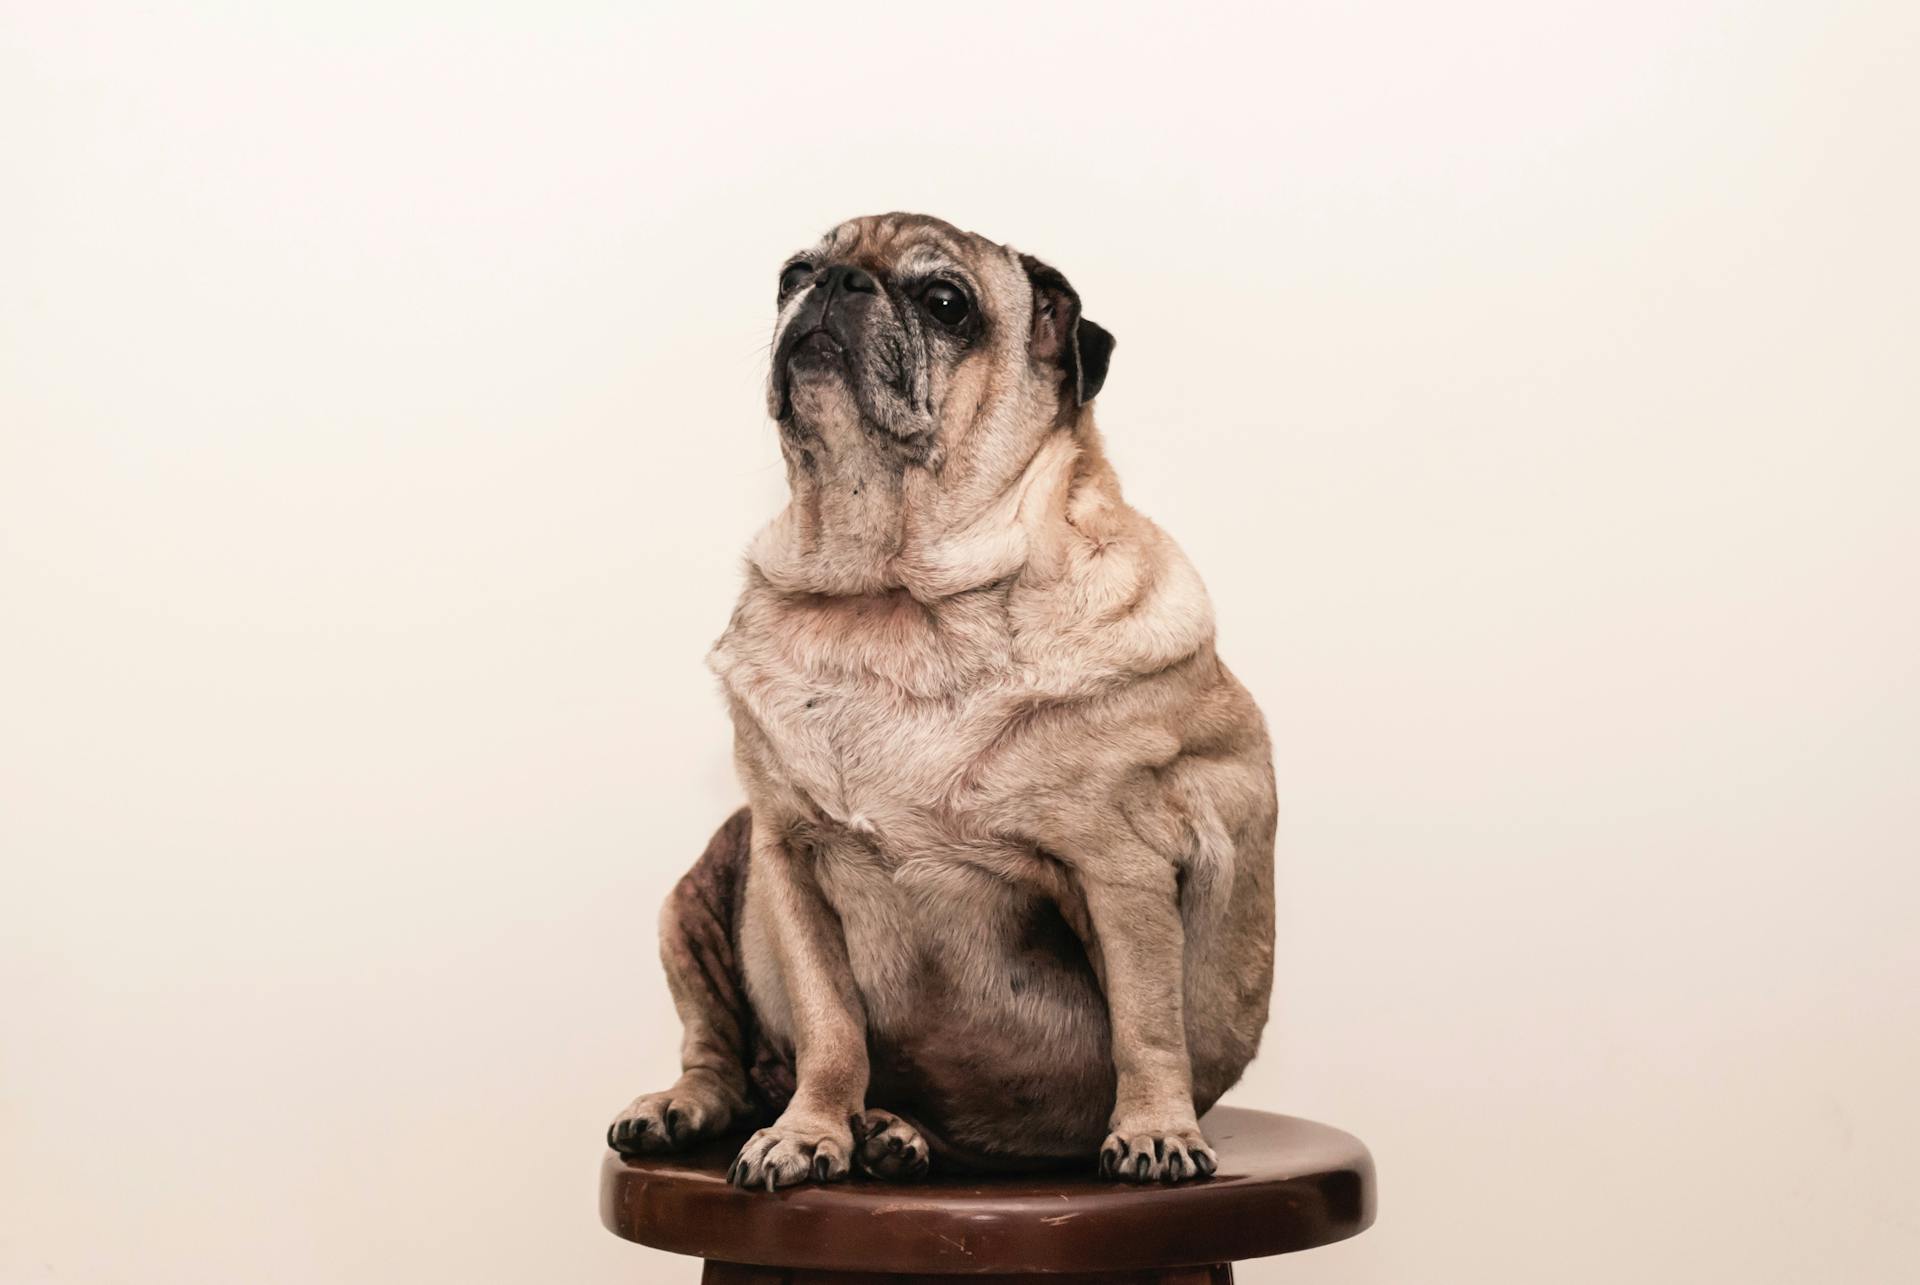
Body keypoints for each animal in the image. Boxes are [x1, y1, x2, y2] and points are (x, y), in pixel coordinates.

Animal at [610, 215, 1274, 1190]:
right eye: (793, 274)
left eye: (946, 302)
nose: (837, 281)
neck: (889, 595)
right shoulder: (787, 856)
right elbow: (830, 1027)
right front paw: (809, 1130)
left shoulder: (1121, 868)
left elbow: (1147, 1023)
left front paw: (1157, 1128)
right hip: (694, 897)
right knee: (721, 1056)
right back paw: (717, 1109)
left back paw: (894, 1131)